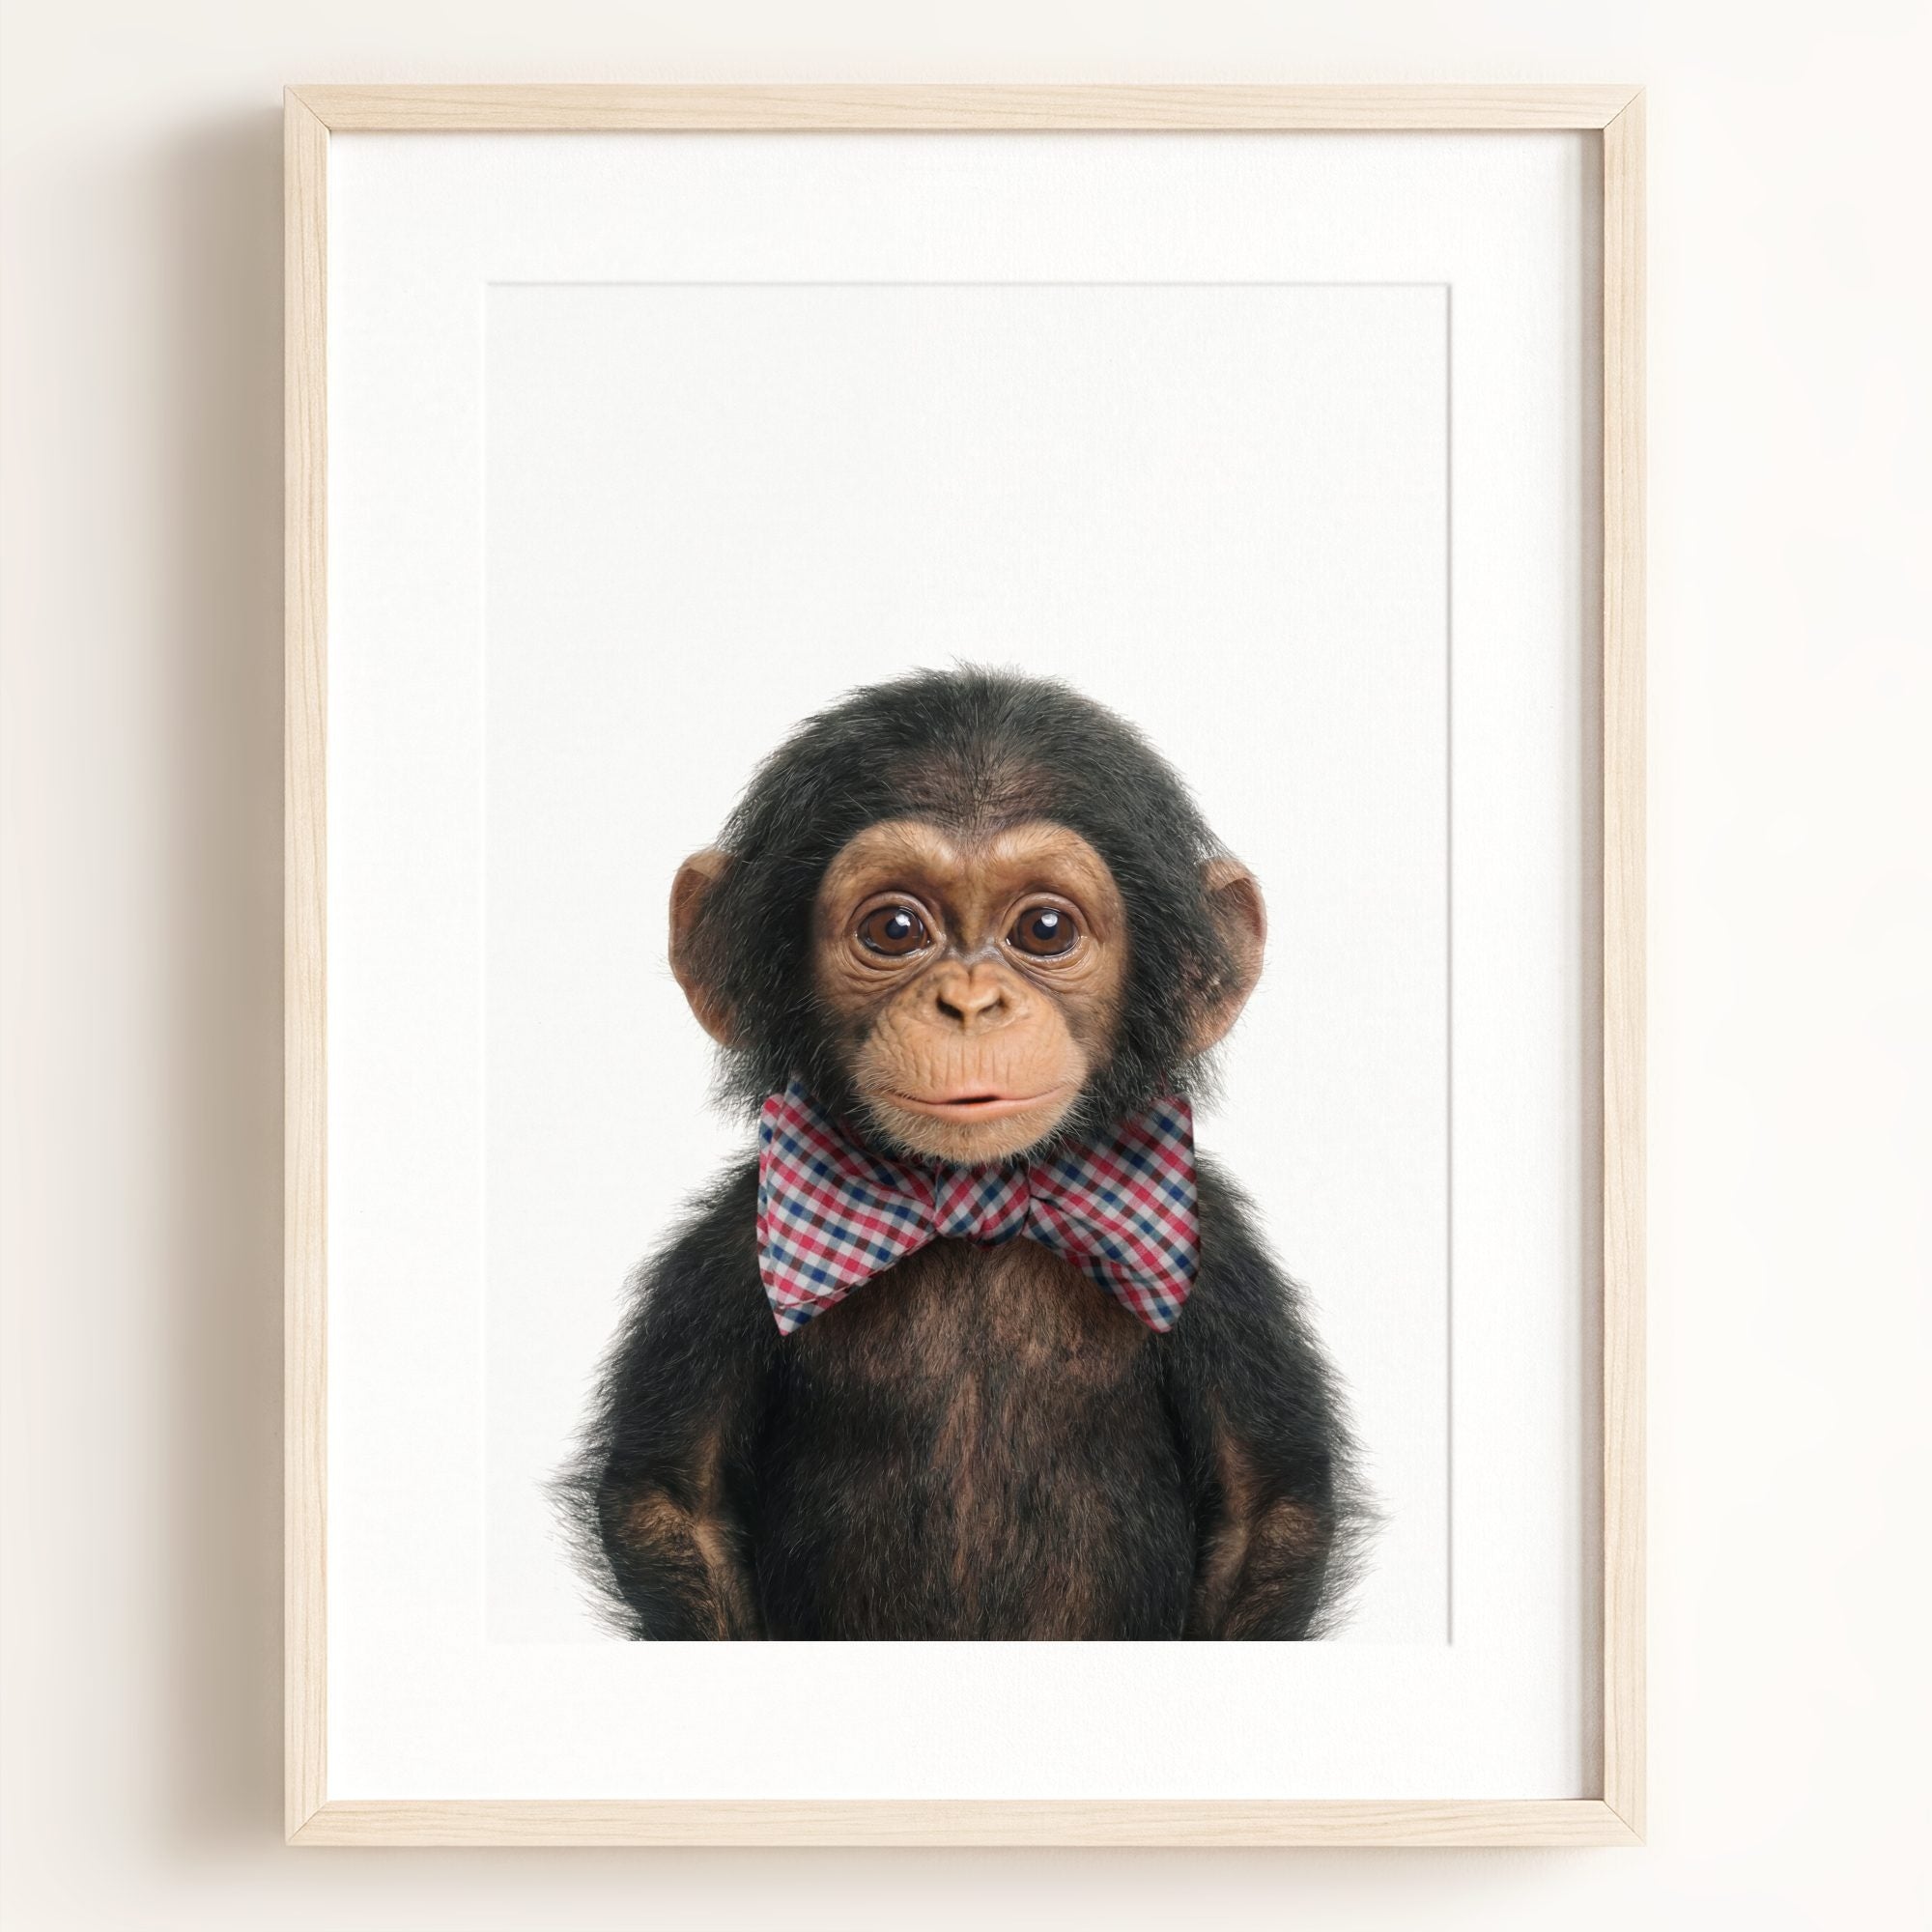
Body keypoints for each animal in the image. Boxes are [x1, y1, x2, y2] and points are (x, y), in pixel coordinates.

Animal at [563, 667, 1365, 1639]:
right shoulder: (723, 1256)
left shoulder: (1219, 1266)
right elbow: (673, 1501)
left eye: (1046, 929)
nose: (972, 1003)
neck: (974, 1204)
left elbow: (1266, 1510)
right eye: (896, 929)